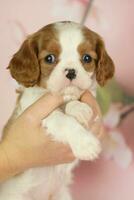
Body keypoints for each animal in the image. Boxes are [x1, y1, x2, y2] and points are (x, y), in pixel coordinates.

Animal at [0, 21, 114, 200]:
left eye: (87, 58)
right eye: (49, 58)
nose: (71, 72)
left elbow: (72, 102)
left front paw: (79, 108)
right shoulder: (35, 110)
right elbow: (62, 119)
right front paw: (86, 144)